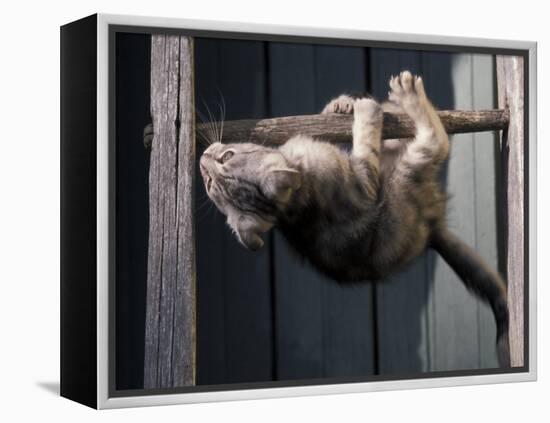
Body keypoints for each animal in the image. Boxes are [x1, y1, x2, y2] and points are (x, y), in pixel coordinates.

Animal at [199, 71, 512, 366]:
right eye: (211, 178)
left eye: (225, 158)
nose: (202, 159)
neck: (291, 207)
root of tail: (432, 229)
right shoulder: (363, 187)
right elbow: (366, 147)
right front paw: (365, 114)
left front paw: (338, 106)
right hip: (409, 170)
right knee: (436, 141)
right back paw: (408, 97)